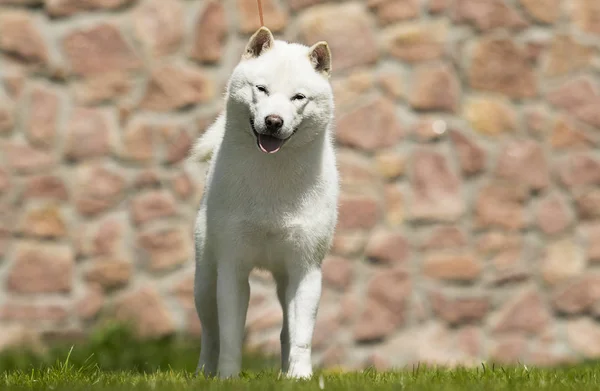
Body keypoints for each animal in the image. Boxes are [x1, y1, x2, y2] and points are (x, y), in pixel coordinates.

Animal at [190, 26, 338, 380]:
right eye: (262, 89)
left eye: (298, 97)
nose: (273, 121)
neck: (273, 179)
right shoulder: (232, 266)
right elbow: (230, 335)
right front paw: (227, 378)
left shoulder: (305, 269)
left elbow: (301, 337)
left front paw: (301, 377)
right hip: (205, 281)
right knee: (210, 332)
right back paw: (205, 372)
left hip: (285, 282)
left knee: (286, 330)